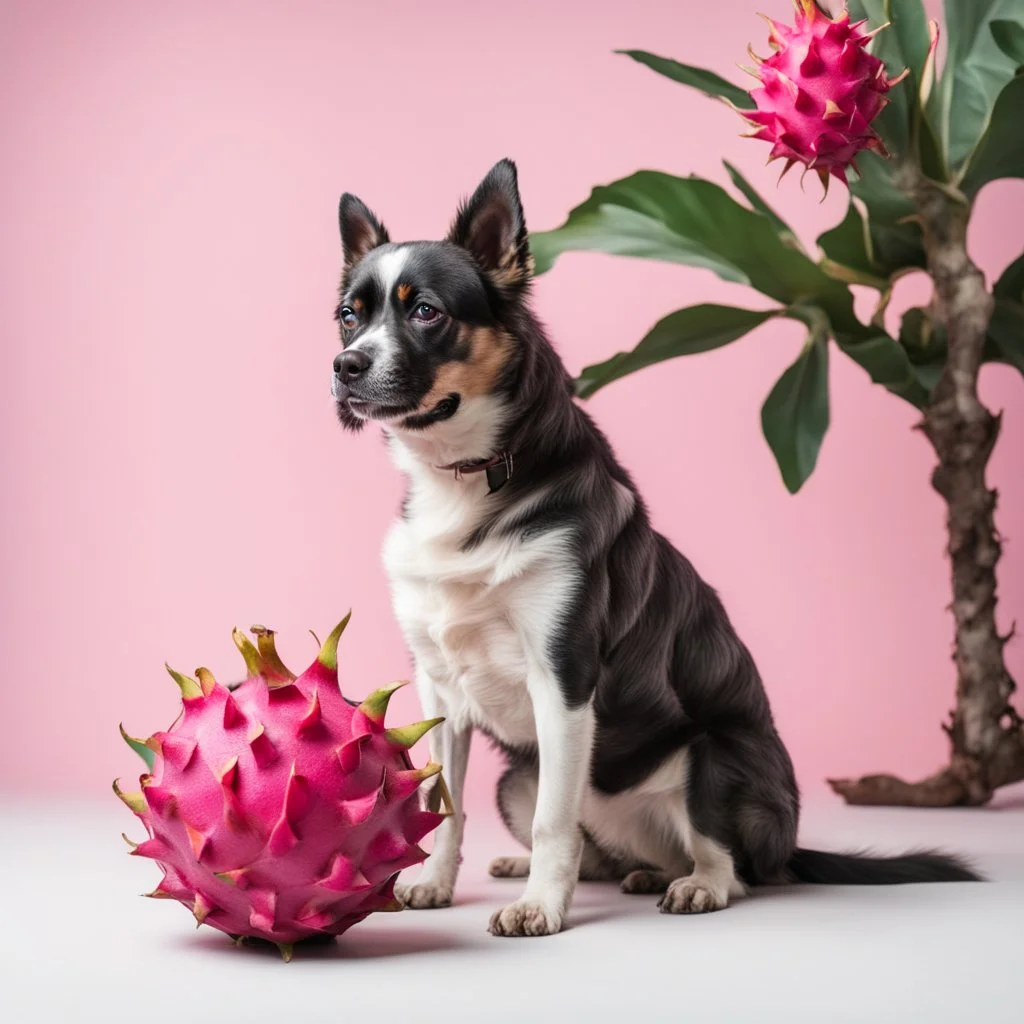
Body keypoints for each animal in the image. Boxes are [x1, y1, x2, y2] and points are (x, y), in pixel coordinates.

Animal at [331, 157, 978, 937]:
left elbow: (555, 822)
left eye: (425, 311)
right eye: (349, 315)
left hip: (710, 756)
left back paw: (694, 884)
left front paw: (541, 909)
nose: (345, 366)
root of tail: (788, 843)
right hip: (519, 775)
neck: (466, 478)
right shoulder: (439, 691)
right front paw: (434, 881)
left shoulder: (564, 677)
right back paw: (590, 868)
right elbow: (442, 806)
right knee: (599, 847)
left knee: (728, 863)